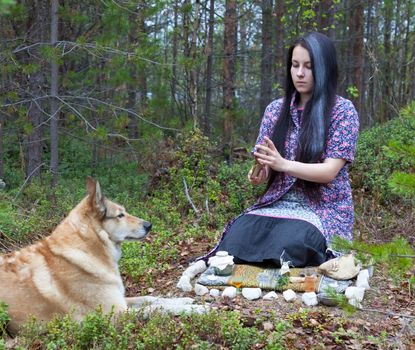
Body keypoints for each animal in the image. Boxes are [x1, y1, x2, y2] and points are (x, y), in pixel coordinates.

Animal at [0, 176, 152, 332]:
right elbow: (150, 310)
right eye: (120, 215)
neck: (86, 249)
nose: (149, 225)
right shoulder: (114, 313)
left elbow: (149, 299)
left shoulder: (121, 301)